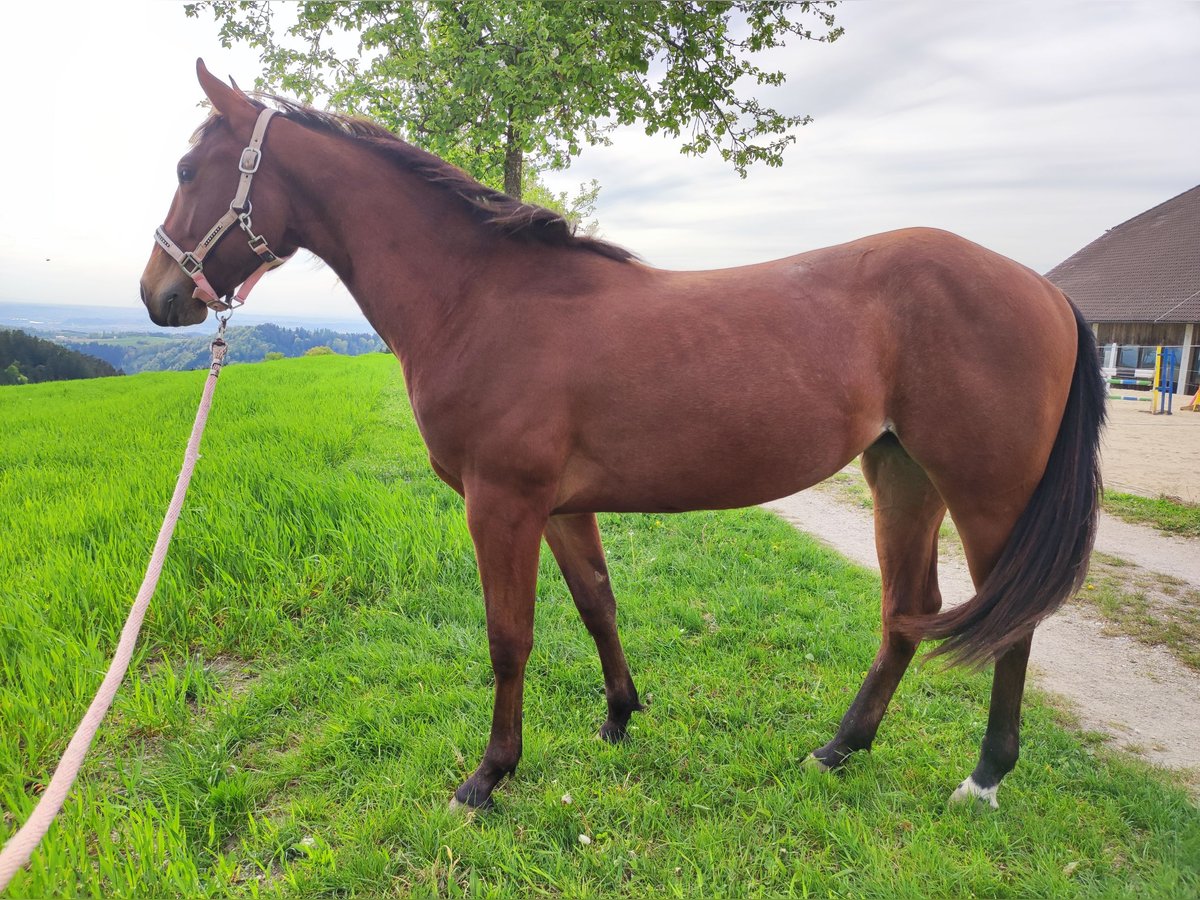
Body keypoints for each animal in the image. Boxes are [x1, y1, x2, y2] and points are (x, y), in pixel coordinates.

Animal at [142, 60, 1104, 816]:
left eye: (188, 166)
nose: (159, 293)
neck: (481, 298)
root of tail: (1045, 289)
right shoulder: (562, 508)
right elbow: (597, 603)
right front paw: (618, 715)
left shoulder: (503, 504)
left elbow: (510, 636)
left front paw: (488, 777)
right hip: (902, 475)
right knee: (908, 611)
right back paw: (839, 749)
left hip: (986, 493)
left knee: (1009, 620)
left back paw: (984, 777)